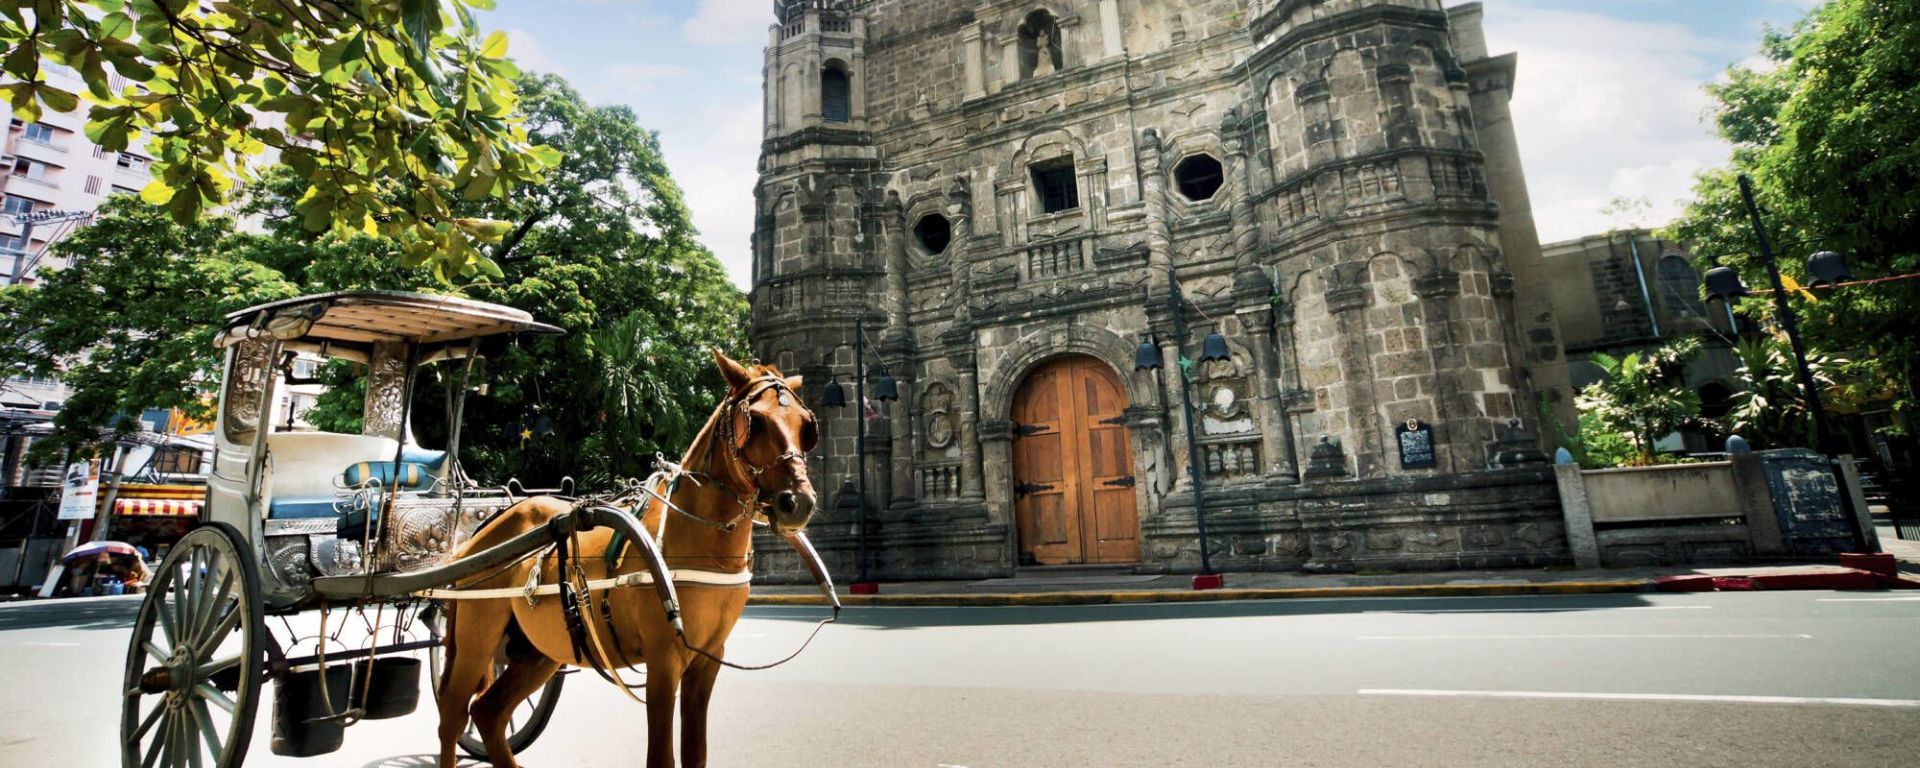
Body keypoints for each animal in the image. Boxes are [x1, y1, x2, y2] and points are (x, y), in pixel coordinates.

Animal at [436, 350, 820, 768]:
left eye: (805, 425)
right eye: (758, 421)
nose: (797, 503)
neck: (702, 544)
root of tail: (484, 532)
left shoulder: (709, 657)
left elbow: (696, 753)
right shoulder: (664, 658)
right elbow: (661, 757)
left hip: (538, 651)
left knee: (488, 713)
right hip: (477, 636)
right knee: (453, 717)